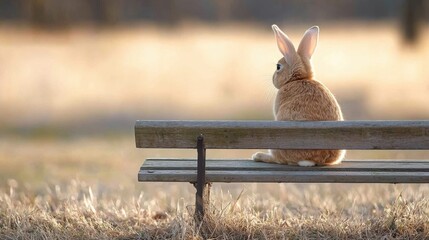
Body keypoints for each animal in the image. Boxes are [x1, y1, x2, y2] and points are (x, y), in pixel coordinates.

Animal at [251, 24, 344, 167]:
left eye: (278, 67)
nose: (273, 78)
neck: (298, 78)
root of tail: (313, 160)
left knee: (279, 159)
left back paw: (258, 156)